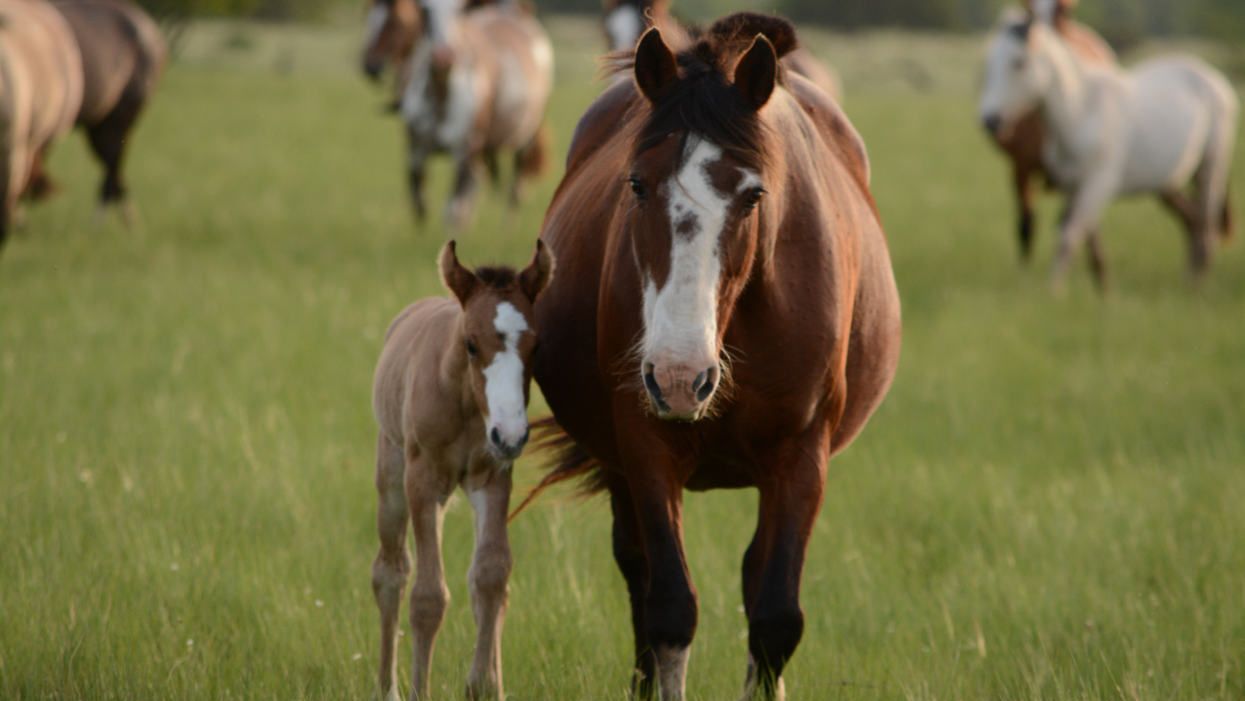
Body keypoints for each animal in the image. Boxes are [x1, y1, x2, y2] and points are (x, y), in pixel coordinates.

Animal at [361, 0, 552, 231]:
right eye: (425, 12)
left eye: (395, 22)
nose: (371, 65)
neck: (441, 96)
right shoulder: (415, 150)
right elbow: (419, 202)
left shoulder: (465, 153)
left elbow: (453, 209)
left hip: (525, 139)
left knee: (515, 188)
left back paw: (508, 227)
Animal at [370, 240, 553, 701]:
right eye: (471, 344)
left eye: (536, 346)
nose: (511, 434)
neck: (467, 404)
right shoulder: (423, 482)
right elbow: (427, 596)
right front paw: (419, 691)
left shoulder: (493, 478)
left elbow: (490, 575)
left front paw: (484, 685)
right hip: (393, 477)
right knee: (390, 572)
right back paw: (387, 687)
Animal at [523, 13, 901, 700]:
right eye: (636, 184)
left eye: (753, 195)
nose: (680, 378)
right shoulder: (645, 446)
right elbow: (670, 608)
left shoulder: (801, 456)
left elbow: (776, 617)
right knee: (638, 572)